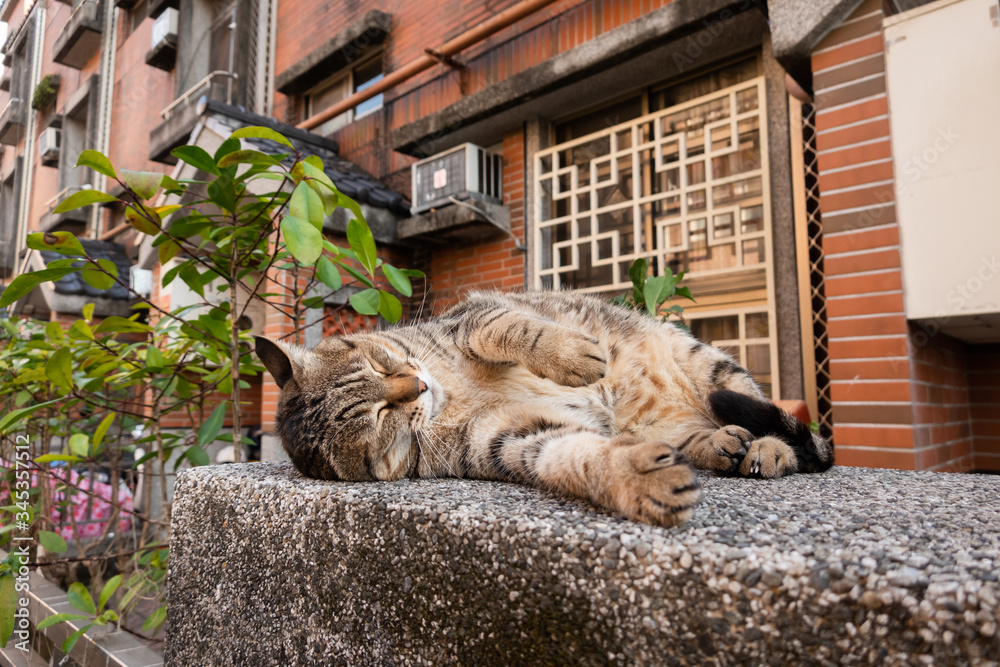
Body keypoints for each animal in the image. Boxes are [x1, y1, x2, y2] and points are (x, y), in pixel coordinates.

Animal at [254, 290, 832, 528]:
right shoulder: (507, 439)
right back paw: (724, 444)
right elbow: (574, 455)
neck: (451, 397)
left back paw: (768, 448)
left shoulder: (472, 318)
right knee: (700, 436)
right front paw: (639, 477)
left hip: (712, 368)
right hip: (674, 421)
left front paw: (571, 353)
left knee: (786, 428)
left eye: (378, 362)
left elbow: (508, 329)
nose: (415, 386)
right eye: (378, 419)